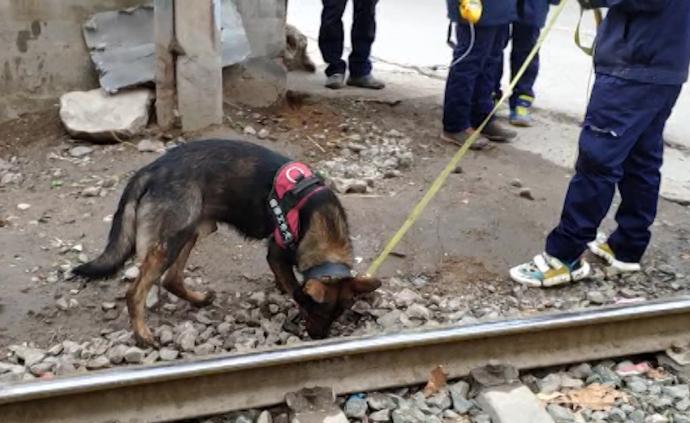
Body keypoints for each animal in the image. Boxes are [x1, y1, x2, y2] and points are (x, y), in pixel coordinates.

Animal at [75, 140, 382, 348]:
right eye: (316, 310)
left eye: (338, 314)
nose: (319, 337)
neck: (321, 218)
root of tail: (152, 169)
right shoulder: (277, 253)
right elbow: (295, 288)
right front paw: (291, 296)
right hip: (169, 241)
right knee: (135, 292)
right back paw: (142, 334)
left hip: (190, 231)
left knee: (172, 279)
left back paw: (198, 300)